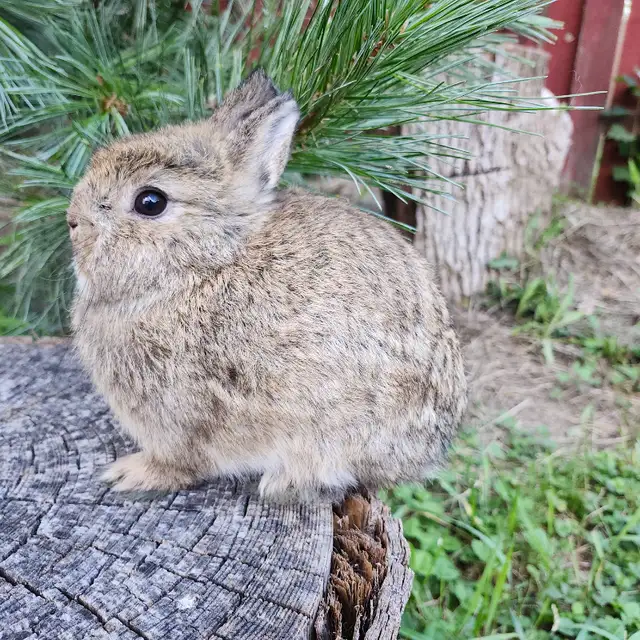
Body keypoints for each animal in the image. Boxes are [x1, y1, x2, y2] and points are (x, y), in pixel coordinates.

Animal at [67, 69, 467, 503]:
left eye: (150, 202)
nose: (73, 222)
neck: (203, 265)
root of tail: (427, 453)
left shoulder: (180, 415)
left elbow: (180, 462)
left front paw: (131, 474)